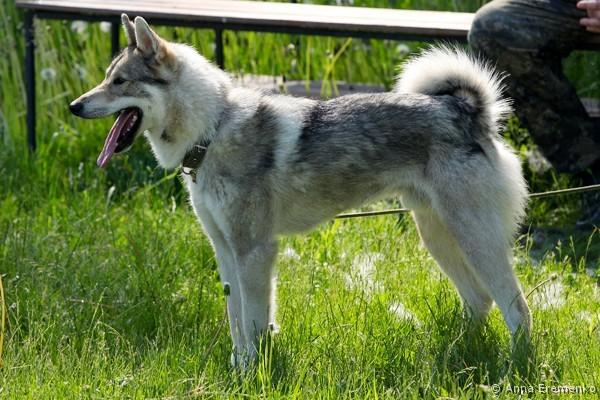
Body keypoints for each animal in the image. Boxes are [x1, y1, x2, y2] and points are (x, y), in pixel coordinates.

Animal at [70, 14, 532, 366]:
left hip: (474, 239)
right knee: (480, 301)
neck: (214, 128)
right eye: (107, 78)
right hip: (437, 236)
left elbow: (254, 320)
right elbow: (237, 320)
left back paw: (517, 365)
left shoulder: (254, 251)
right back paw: (457, 351)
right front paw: (240, 367)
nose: (74, 106)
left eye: (120, 82)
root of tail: (467, 110)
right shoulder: (225, 251)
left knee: (517, 309)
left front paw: (253, 373)